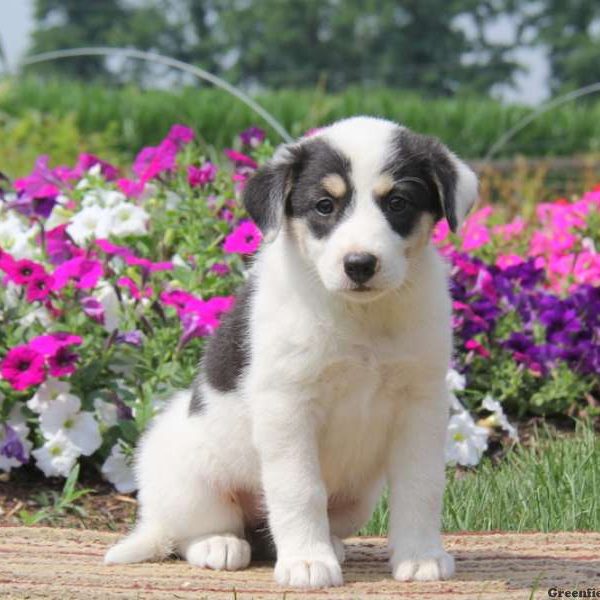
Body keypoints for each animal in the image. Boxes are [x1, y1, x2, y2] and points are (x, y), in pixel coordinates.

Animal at [104, 116, 478, 584]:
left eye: (397, 202)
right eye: (324, 205)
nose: (359, 264)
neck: (360, 317)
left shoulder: (421, 402)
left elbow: (421, 485)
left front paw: (421, 555)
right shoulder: (288, 404)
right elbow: (299, 489)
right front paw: (306, 562)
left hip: (357, 498)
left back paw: (329, 545)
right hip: (188, 476)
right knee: (193, 530)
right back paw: (220, 544)